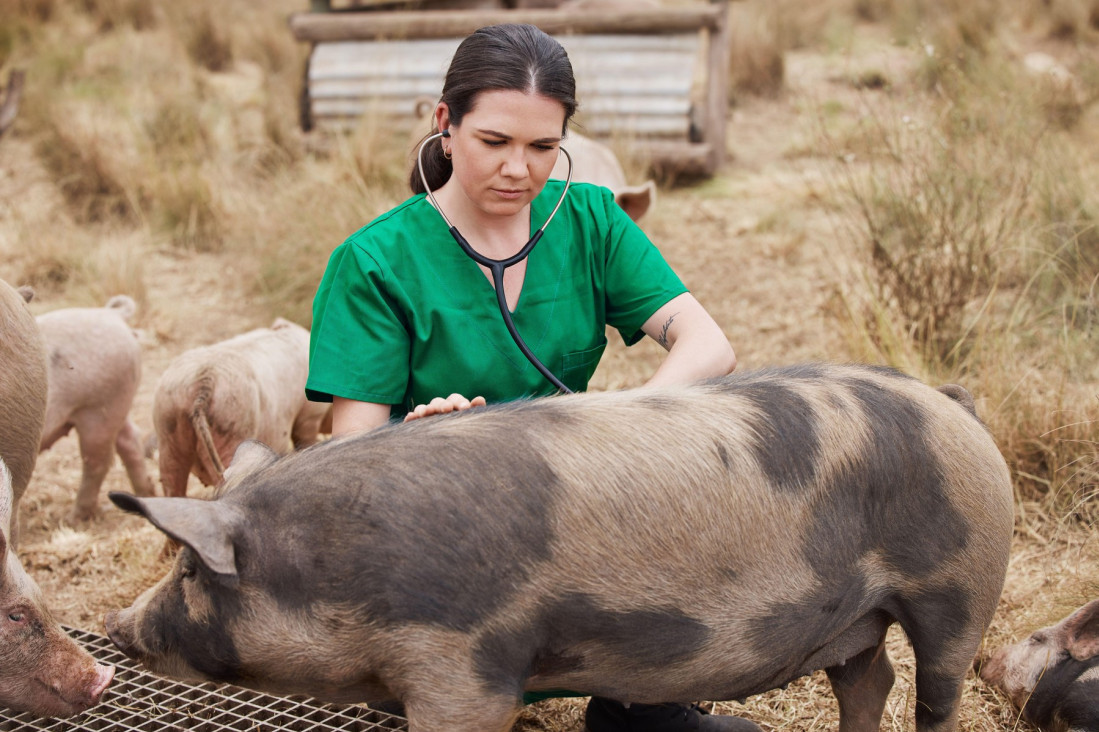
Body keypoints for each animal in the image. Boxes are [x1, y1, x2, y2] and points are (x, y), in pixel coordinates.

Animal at [37, 294, 154, 520]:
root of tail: (111, 313)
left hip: (98, 408)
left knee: (97, 460)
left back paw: (73, 519)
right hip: (118, 402)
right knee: (130, 440)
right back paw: (146, 496)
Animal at [103, 362, 1011, 729]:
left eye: (188, 566)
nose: (115, 627)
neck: (339, 571)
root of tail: (947, 400)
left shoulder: (461, 667)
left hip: (962, 583)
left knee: (933, 689)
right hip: (854, 616)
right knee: (869, 679)